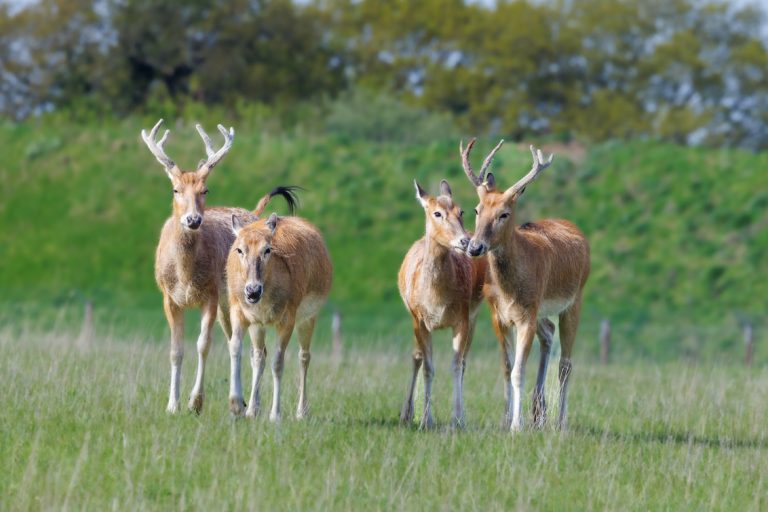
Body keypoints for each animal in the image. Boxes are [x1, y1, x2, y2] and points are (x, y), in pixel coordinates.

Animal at [141, 119, 299, 415]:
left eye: (205, 190)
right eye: (175, 189)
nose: (193, 219)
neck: (185, 275)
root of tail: (254, 214)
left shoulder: (211, 293)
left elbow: (203, 345)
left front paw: (195, 402)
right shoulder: (168, 296)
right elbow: (176, 350)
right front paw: (172, 405)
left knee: (256, 351)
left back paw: (252, 406)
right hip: (230, 305)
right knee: (235, 343)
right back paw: (246, 402)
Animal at [226, 212, 332, 421]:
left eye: (267, 249)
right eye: (239, 249)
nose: (252, 291)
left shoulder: (287, 318)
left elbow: (278, 363)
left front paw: (275, 415)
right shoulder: (241, 312)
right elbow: (235, 347)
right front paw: (238, 406)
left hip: (309, 315)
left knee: (304, 356)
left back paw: (302, 411)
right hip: (258, 326)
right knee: (259, 356)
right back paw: (253, 409)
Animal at [398, 179, 487, 429]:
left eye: (461, 211)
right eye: (437, 213)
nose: (466, 242)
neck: (436, 301)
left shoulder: (463, 318)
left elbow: (456, 364)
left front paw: (458, 419)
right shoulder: (419, 320)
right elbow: (428, 367)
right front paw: (425, 420)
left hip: (475, 314)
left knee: (464, 361)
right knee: (416, 357)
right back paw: (406, 413)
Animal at [460, 139, 590, 431]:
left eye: (504, 214)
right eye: (476, 209)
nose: (475, 247)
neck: (511, 290)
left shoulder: (527, 315)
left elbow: (520, 371)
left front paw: (516, 426)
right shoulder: (499, 316)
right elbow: (507, 368)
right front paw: (505, 419)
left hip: (574, 299)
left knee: (566, 364)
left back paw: (560, 422)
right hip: (541, 310)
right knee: (549, 333)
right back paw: (539, 413)